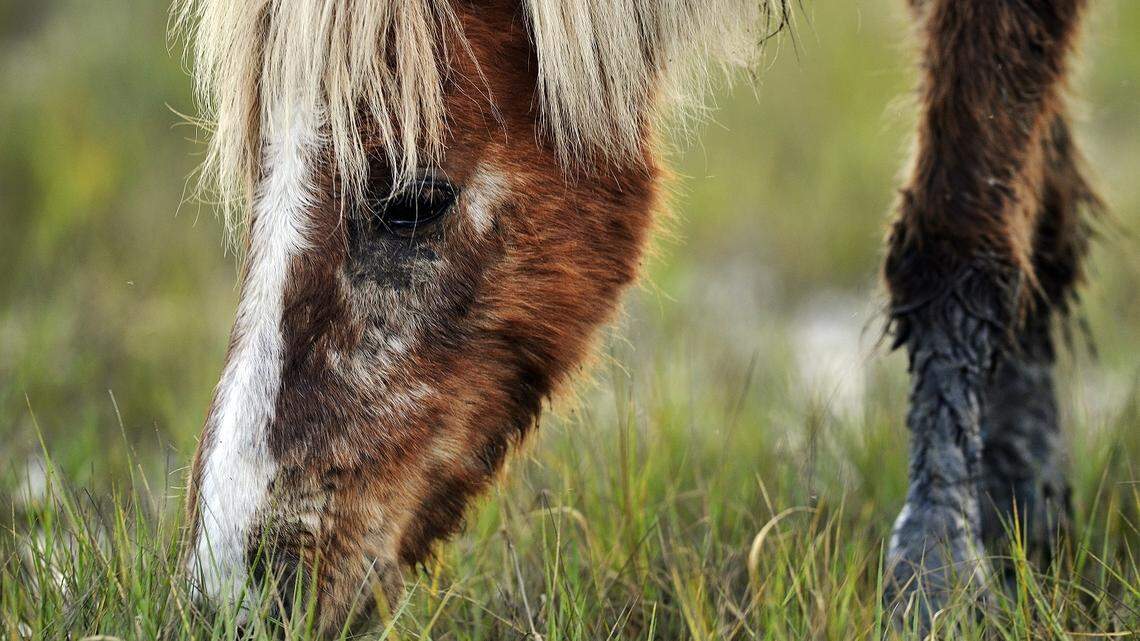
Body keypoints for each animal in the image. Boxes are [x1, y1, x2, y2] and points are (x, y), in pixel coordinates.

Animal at [175, 0, 1100, 632]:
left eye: (411, 202)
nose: (229, 590)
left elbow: (960, 222)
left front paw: (941, 580)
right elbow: (1037, 186)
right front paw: (1022, 522)